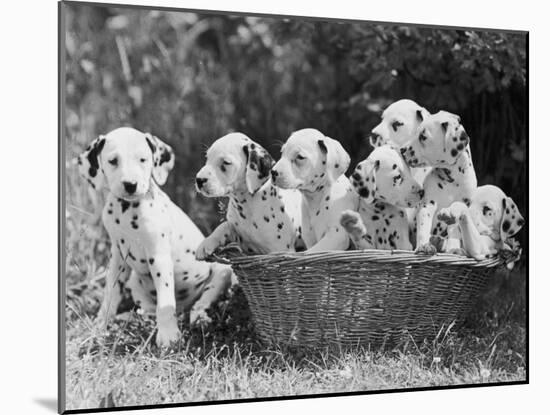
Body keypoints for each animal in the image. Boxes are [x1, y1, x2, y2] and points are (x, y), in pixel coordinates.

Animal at [77, 127, 233, 348]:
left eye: (143, 159)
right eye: (113, 161)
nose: (130, 184)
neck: (127, 211)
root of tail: (185, 308)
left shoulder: (158, 257)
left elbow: (165, 302)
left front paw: (168, 335)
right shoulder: (118, 258)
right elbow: (110, 295)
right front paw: (99, 326)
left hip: (221, 272)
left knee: (201, 302)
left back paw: (199, 317)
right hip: (135, 282)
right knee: (147, 312)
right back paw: (132, 318)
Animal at [402, 110, 478, 254]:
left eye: (423, 137)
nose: (402, 150)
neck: (454, 179)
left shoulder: (458, 208)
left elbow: (454, 230)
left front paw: (454, 248)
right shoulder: (427, 205)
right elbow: (423, 228)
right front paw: (423, 246)